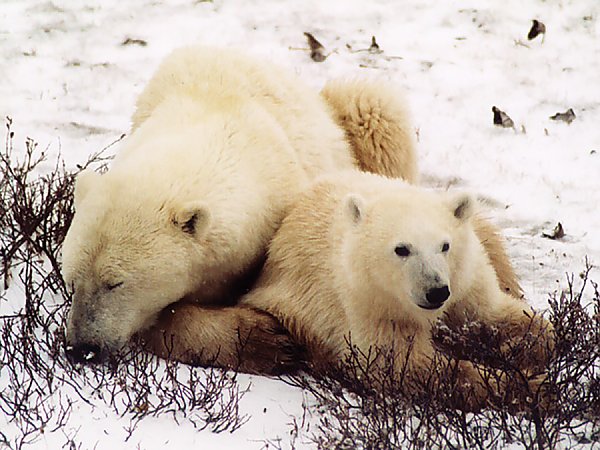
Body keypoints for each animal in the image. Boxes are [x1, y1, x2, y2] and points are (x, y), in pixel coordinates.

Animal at [61, 46, 516, 372]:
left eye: (115, 282)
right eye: (71, 279)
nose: (81, 347)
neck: (215, 115)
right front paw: (270, 340)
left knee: (374, 109)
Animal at [241, 170, 552, 412]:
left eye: (445, 245)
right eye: (402, 249)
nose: (436, 291)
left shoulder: (466, 280)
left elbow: (494, 312)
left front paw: (517, 347)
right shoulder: (370, 306)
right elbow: (410, 366)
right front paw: (534, 388)